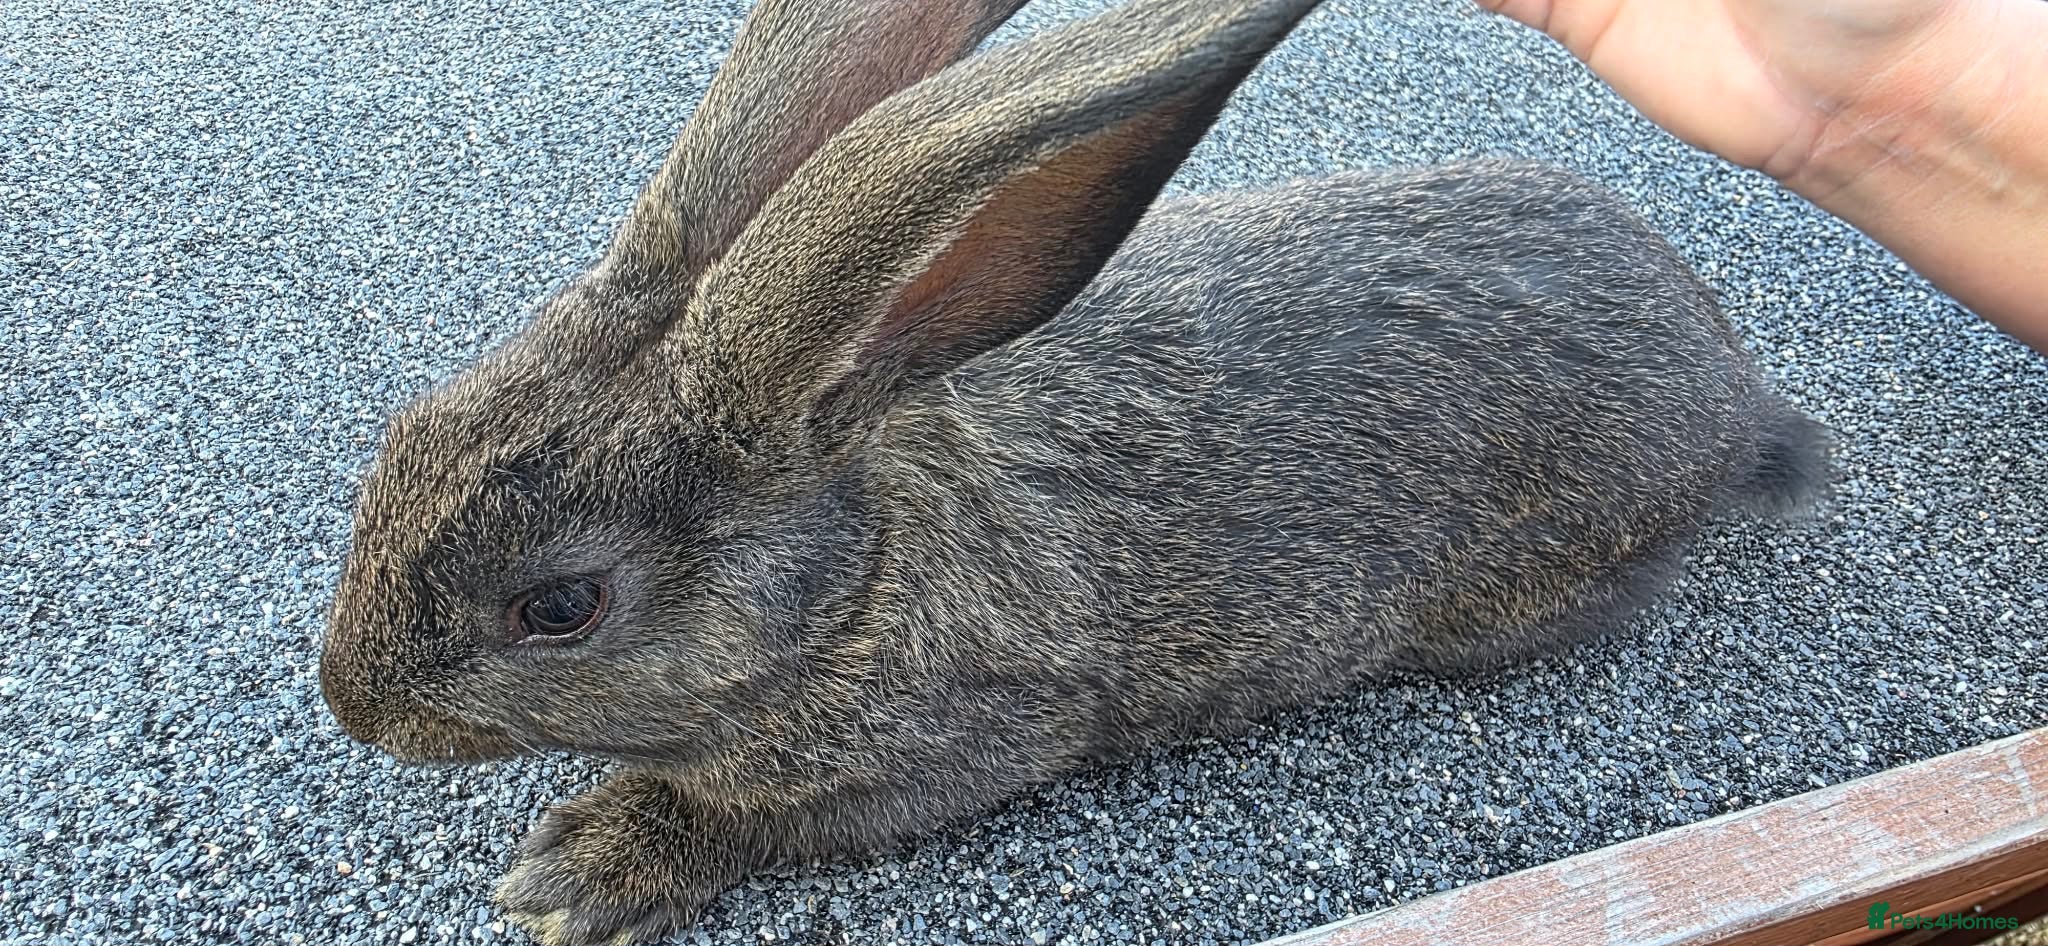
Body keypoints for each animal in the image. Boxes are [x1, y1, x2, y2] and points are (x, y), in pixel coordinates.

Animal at [316, 0, 1831, 942]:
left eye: (558, 606)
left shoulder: (978, 736)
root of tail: (1732, 393)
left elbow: (763, 822)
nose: (352, 704)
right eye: (405, 431)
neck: (849, 587)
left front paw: (584, 869)